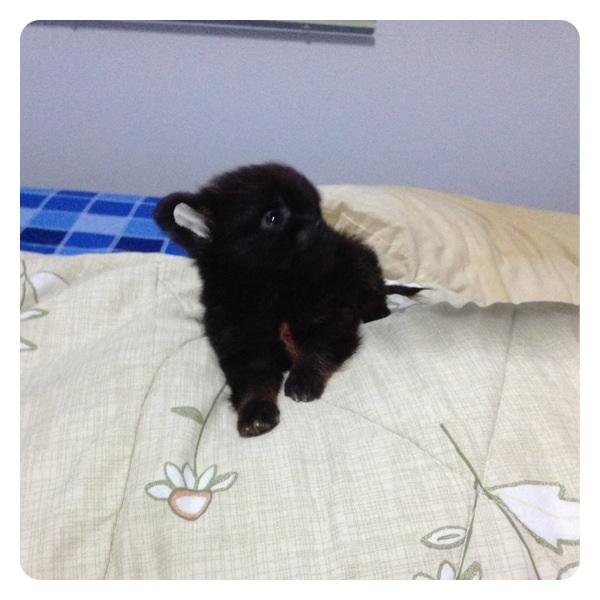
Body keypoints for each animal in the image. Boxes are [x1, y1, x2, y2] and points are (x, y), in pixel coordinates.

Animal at [153, 163, 421, 437]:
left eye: (316, 210)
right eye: (273, 217)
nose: (320, 224)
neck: (278, 289)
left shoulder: (335, 320)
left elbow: (317, 347)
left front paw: (303, 379)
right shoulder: (243, 347)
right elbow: (253, 380)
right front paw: (255, 412)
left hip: (360, 259)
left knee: (375, 291)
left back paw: (376, 312)